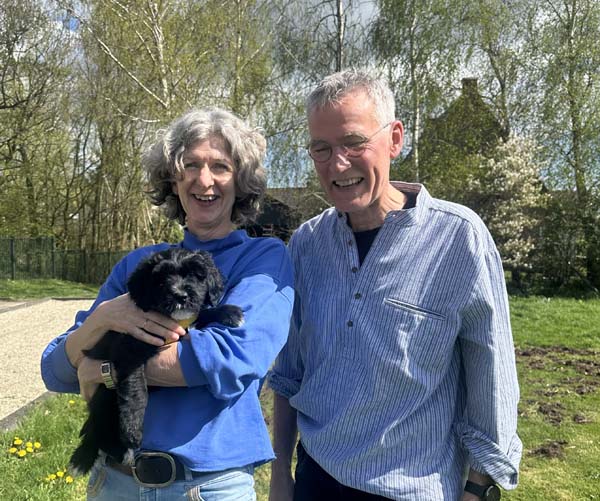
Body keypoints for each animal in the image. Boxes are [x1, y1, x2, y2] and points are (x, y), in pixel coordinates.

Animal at [69, 247, 243, 475]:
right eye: (161, 279)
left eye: (195, 274)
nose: (180, 295)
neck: (175, 320)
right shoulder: (130, 350)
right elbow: (137, 391)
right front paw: (133, 429)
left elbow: (201, 314)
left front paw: (228, 312)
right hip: (103, 398)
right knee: (99, 430)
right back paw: (105, 453)